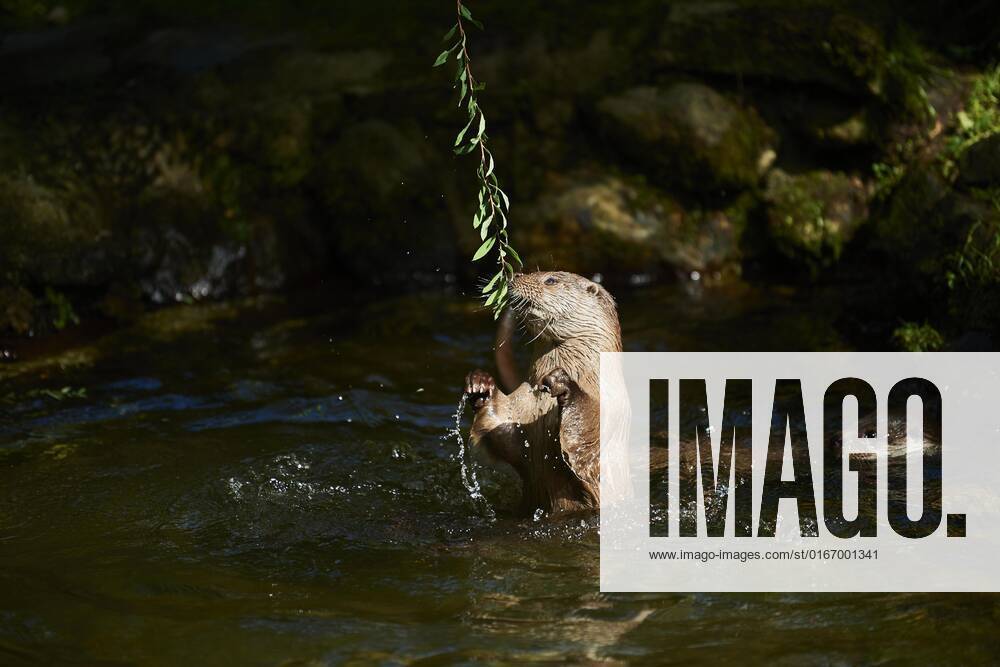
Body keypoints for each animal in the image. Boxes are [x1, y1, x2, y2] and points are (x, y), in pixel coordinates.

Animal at [464, 271, 624, 515]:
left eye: (550, 280)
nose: (516, 274)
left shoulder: (611, 408)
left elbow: (589, 435)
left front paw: (564, 383)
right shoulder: (522, 406)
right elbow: (504, 434)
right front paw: (481, 384)